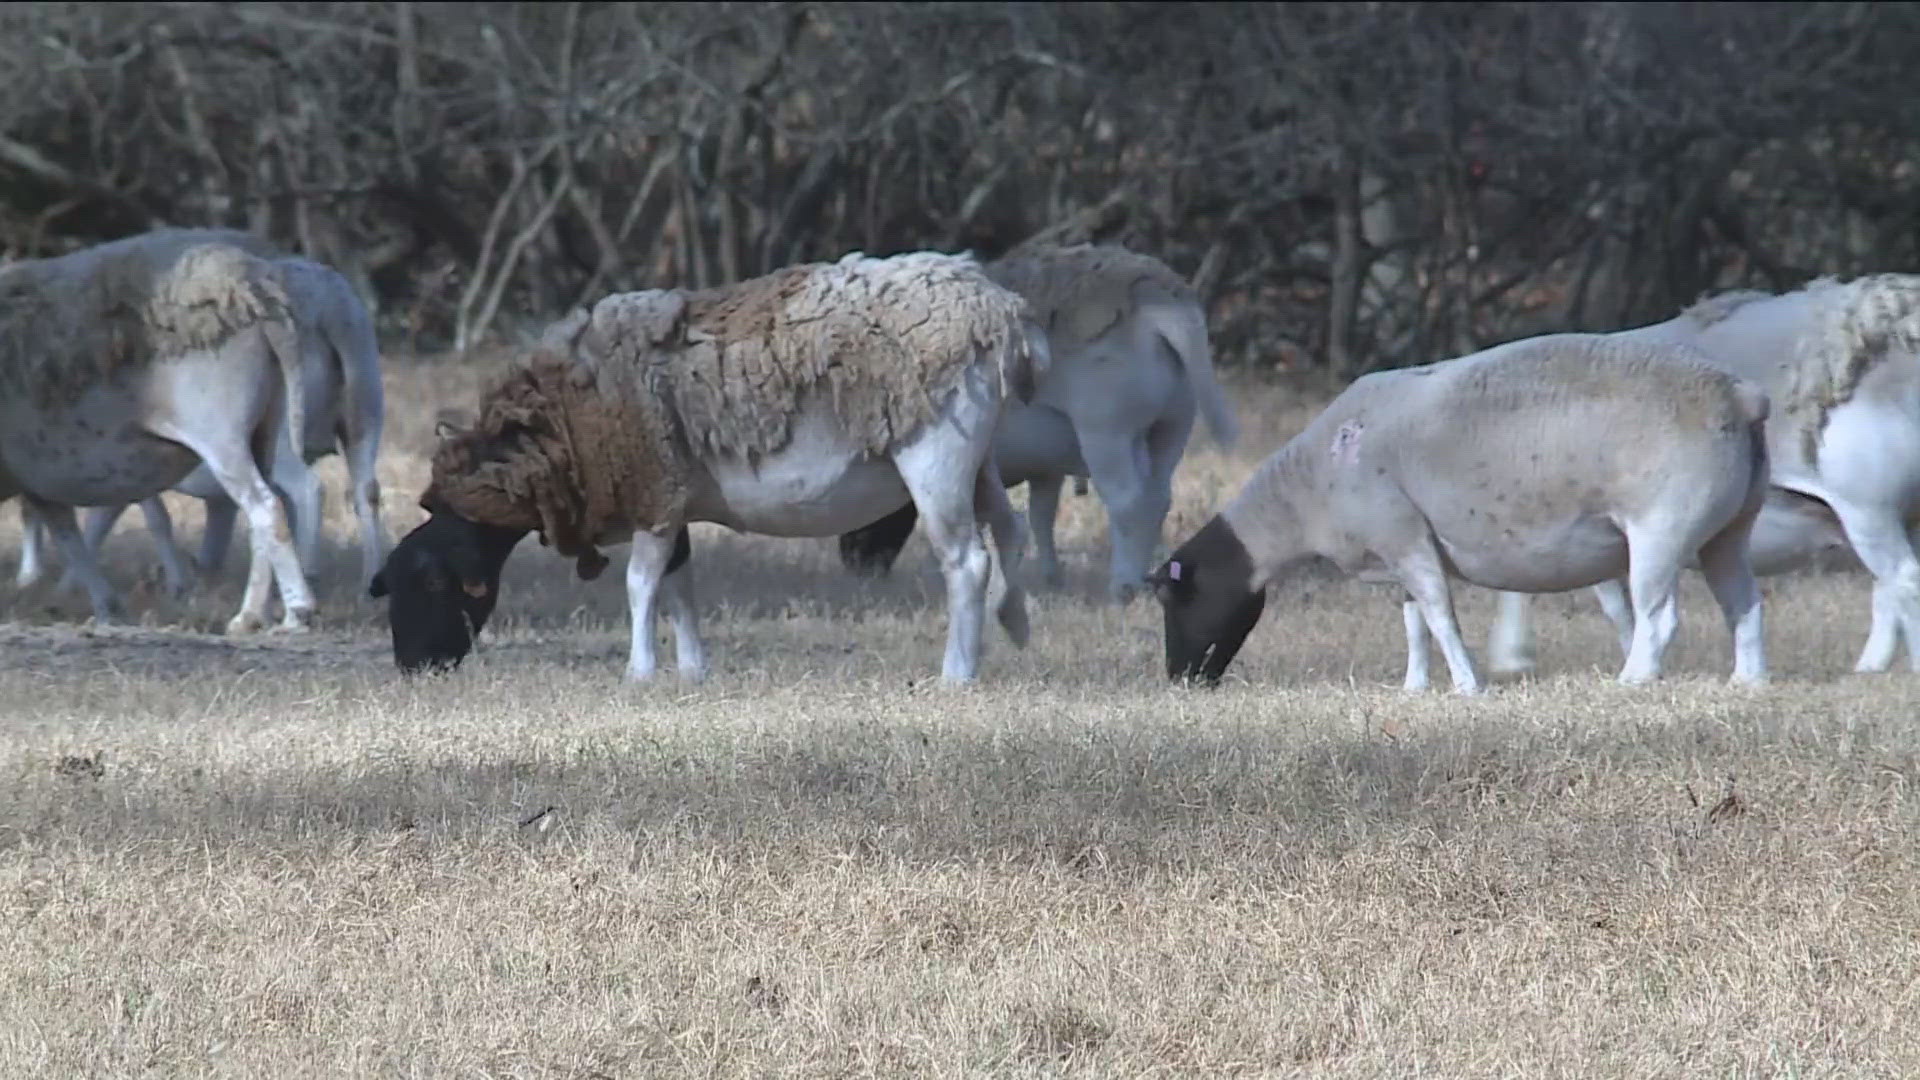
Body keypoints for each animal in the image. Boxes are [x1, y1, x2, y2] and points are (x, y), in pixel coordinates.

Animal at [0, 226, 318, 630]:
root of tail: (258, 294)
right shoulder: (37, 479)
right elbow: (68, 535)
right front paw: (108, 607)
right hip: (265, 425)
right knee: (262, 512)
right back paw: (252, 615)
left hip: (220, 433)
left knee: (266, 507)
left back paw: (295, 611)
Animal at [364, 247, 1044, 676]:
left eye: (431, 583)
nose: (413, 668)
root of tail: (1000, 311)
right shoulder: (672, 500)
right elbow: (679, 585)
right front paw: (693, 669)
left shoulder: (653, 492)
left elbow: (641, 584)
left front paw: (640, 671)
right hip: (980, 456)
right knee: (1012, 531)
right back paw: (1014, 625)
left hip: (936, 454)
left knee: (967, 560)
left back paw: (958, 671)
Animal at [833, 239, 1236, 599]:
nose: (856, 565)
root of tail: (1156, 293)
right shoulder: (1046, 468)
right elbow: (1042, 516)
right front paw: (1049, 577)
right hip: (1172, 426)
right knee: (1157, 499)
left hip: (1107, 432)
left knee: (1128, 502)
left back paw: (1123, 585)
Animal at [1136, 332, 1766, 691]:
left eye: (1174, 598)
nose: (1178, 679)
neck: (1309, 487)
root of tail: (1741, 396)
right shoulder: (1396, 552)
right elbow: (1414, 622)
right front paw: (1415, 687)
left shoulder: (1404, 535)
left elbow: (1440, 616)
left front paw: (1466, 685)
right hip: (1730, 529)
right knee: (1745, 605)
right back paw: (1748, 681)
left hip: (1663, 524)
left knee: (1659, 617)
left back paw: (1633, 680)